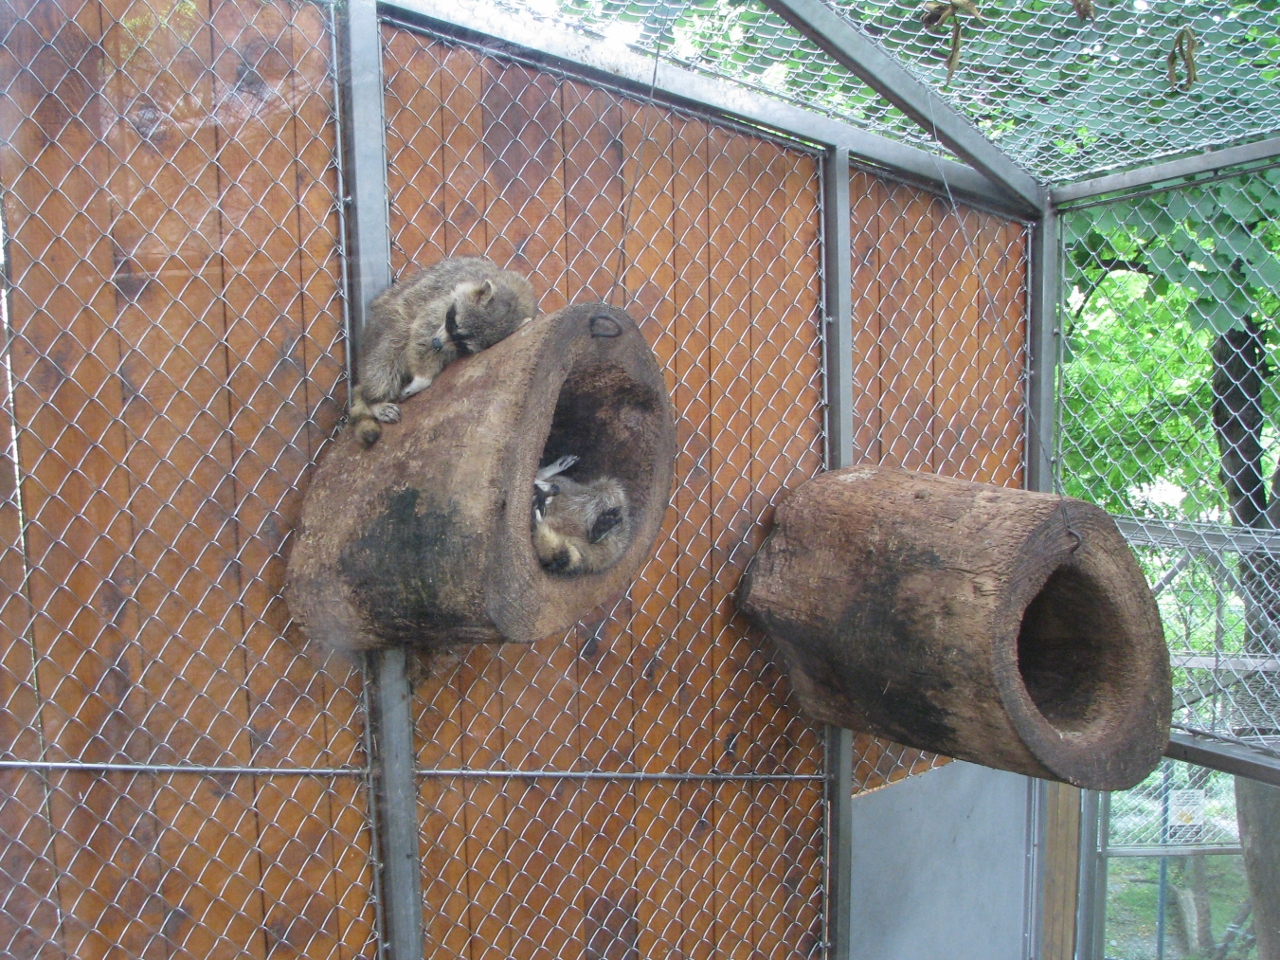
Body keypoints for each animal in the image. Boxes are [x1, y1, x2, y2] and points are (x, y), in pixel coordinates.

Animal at [348, 257, 537, 446]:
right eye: (452, 322)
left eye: (462, 344)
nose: (437, 344)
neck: (514, 294)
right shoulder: (445, 296)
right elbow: (422, 329)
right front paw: (422, 378)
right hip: (382, 326)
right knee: (387, 351)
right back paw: (374, 399)